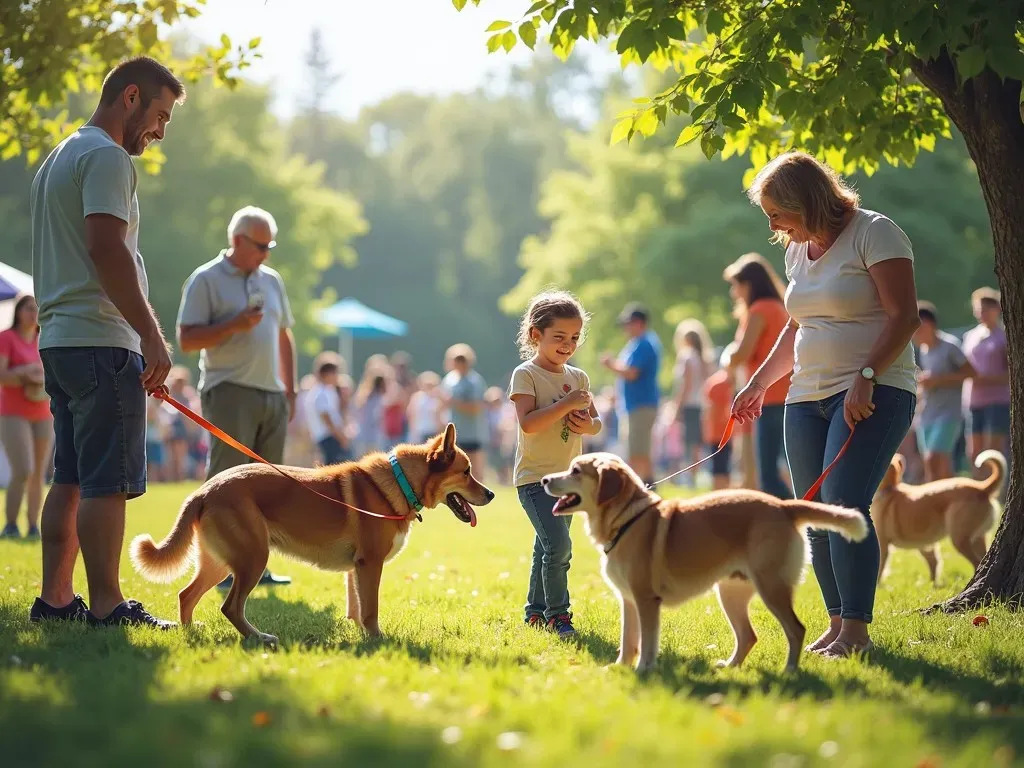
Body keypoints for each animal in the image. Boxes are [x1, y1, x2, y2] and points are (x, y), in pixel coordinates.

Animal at [540, 454, 868, 671]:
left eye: (575, 470)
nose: (544, 479)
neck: (627, 519)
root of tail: (784, 507)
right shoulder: (628, 601)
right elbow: (628, 639)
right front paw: (620, 668)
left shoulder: (646, 601)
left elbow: (647, 642)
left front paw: (643, 671)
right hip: (730, 593)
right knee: (748, 636)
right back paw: (731, 667)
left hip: (771, 588)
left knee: (796, 630)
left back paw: (789, 672)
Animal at [868, 448, 1003, 585]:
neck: (889, 488)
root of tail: (982, 489)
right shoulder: (925, 545)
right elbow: (934, 563)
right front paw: (932, 585)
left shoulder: (883, 544)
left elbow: (881, 569)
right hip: (978, 539)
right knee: (982, 558)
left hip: (959, 539)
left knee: (976, 563)